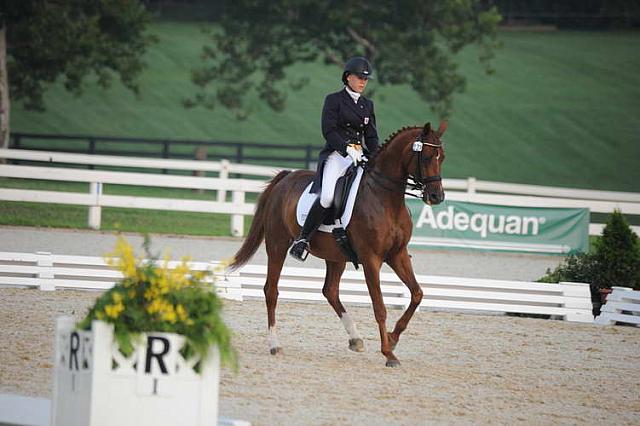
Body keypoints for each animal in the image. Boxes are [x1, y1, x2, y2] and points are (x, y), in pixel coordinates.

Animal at [232, 120, 448, 366]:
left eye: (442, 157)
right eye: (427, 157)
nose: (436, 196)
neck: (384, 198)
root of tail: (286, 177)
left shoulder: (397, 254)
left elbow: (417, 293)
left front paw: (393, 339)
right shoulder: (371, 259)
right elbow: (379, 307)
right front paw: (388, 352)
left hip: (335, 255)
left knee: (330, 291)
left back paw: (355, 338)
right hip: (277, 245)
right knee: (271, 291)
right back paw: (275, 344)